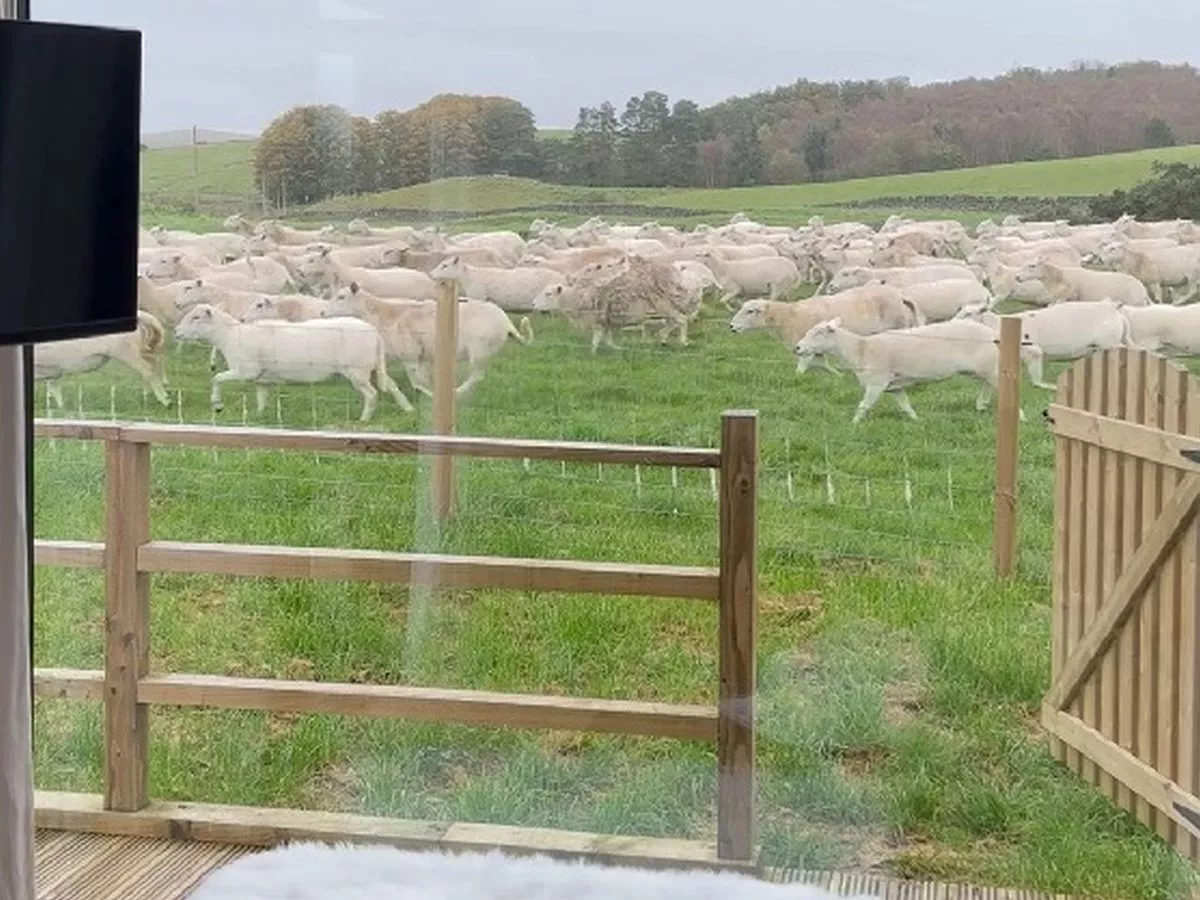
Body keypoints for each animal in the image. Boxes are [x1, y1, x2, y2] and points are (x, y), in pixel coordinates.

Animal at [35, 310, 170, 409]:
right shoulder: (52, 370)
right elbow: (54, 389)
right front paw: (61, 409)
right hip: (140, 349)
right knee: (155, 362)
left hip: (127, 352)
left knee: (148, 370)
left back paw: (165, 401)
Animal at [173, 303, 413, 420]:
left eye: (196, 317)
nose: (176, 332)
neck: (230, 335)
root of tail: (375, 333)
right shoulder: (262, 378)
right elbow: (262, 398)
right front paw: (259, 417)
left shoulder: (246, 370)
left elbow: (216, 378)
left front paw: (217, 404)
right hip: (371, 366)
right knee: (391, 385)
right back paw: (408, 409)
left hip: (357, 370)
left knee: (372, 394)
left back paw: (364, 419)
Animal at [324, 282, 532, 397]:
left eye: (341, 297)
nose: (324, 312)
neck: (384, 315)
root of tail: (506, 322)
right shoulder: (420, 357)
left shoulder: (410, 355)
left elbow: (417, 381)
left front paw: (429, 394)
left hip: (478, 350)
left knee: (476, 376)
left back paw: (457, 392)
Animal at [793, 317, 1031, 424]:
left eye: (818, 333)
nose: (797, 348)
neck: (861, 349)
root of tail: (992, 333)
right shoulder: (894, 386)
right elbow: (905, 405)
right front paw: (916, 420)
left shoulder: (876, 383)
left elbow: (863, 405)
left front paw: (853, 424)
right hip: (982, 368)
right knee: (987, 385)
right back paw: (981, 405)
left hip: (989, 366)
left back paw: (1020, 417)